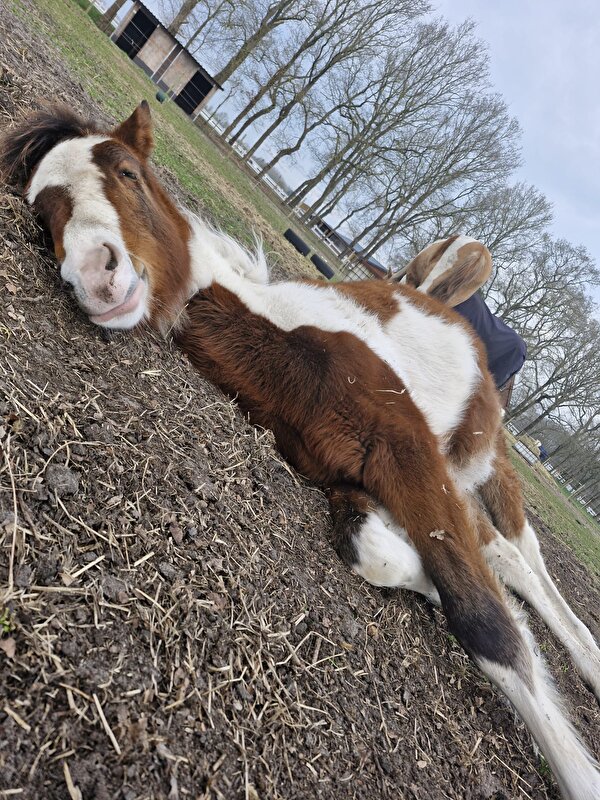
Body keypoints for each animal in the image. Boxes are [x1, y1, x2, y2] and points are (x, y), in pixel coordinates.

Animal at [1, 102, 599, 800]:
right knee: (505, 551)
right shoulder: (350, 476)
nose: (96, 275)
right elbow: (387, 556)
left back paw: (587, 655)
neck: (283, 347)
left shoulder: (409, 449)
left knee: (526, 550)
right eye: (43, 212)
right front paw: (425, 573)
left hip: (482, 440)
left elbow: (486, 623)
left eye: (126, 171)